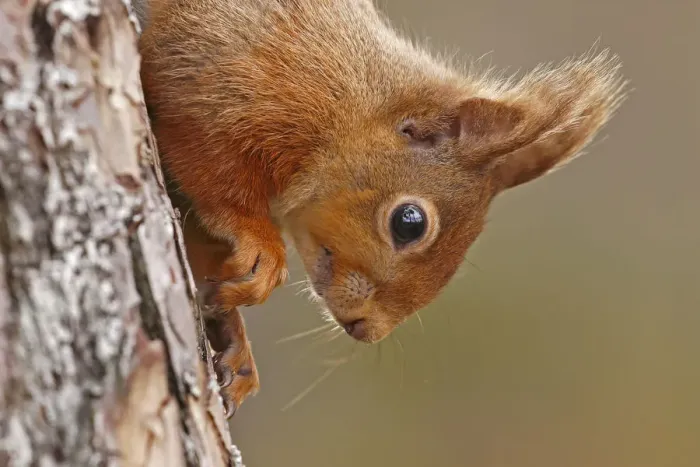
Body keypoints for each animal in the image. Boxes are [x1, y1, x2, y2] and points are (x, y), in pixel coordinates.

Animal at [137, 0, 626, 416]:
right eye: (409, 223)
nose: (365, 328)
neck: (351, 105)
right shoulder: (222, 77)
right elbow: (209, 168)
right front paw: (263, 249)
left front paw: (234, 341)